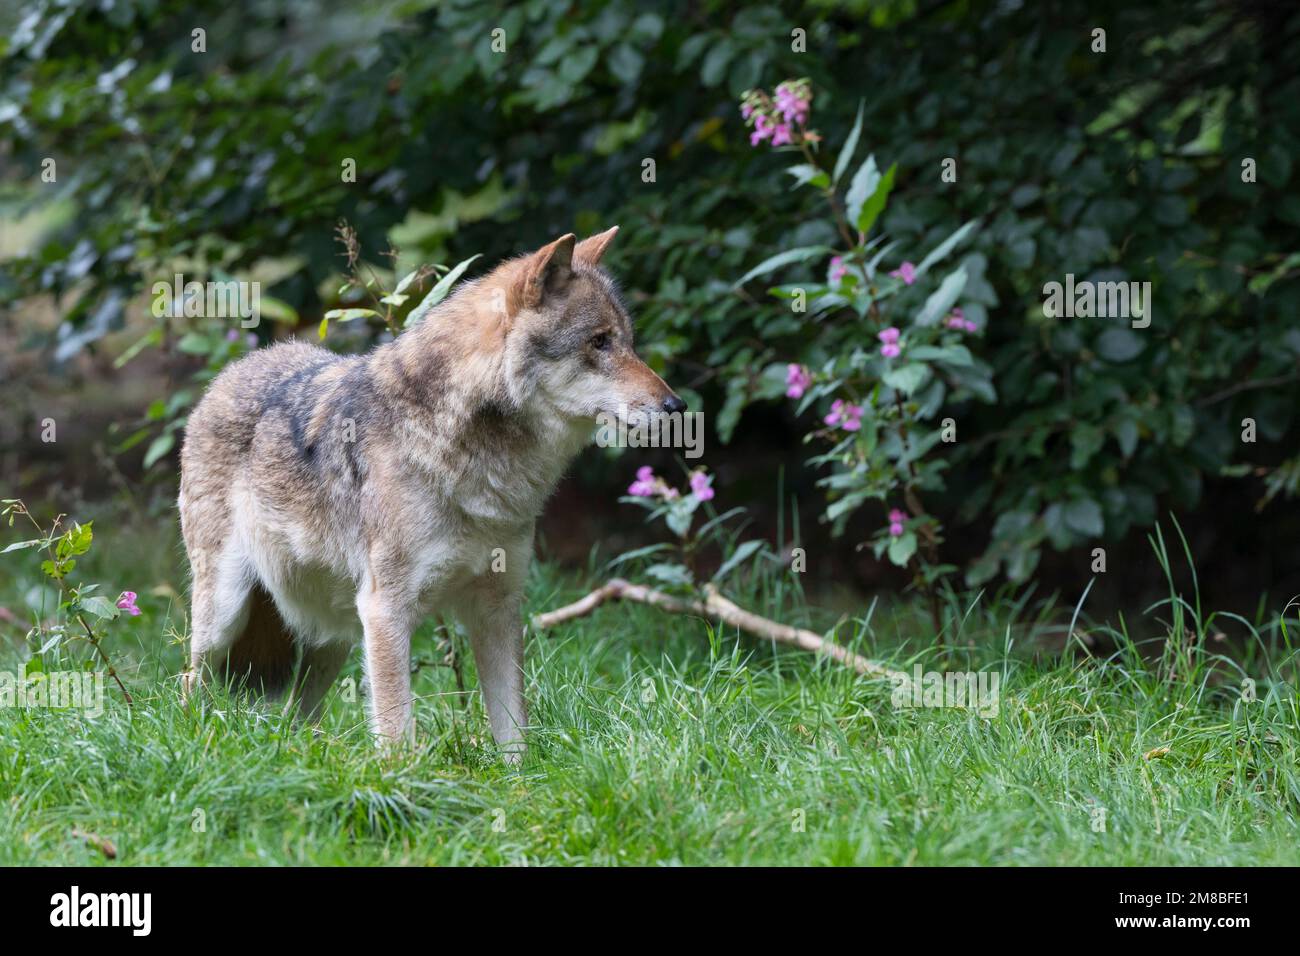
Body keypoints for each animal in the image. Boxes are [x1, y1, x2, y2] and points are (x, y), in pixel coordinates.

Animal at [179, 227, 683, 761]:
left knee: (296, 714)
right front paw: (402, 779)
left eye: (628, 341)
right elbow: (397, 732)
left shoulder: (498, 607)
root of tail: (230, 371)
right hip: (226, 616)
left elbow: (514, 730)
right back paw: (198, 741)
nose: (677, 406)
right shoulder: (387, 610)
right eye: (599, 342)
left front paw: (519, 778)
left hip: (335, 635)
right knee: (191, 682)